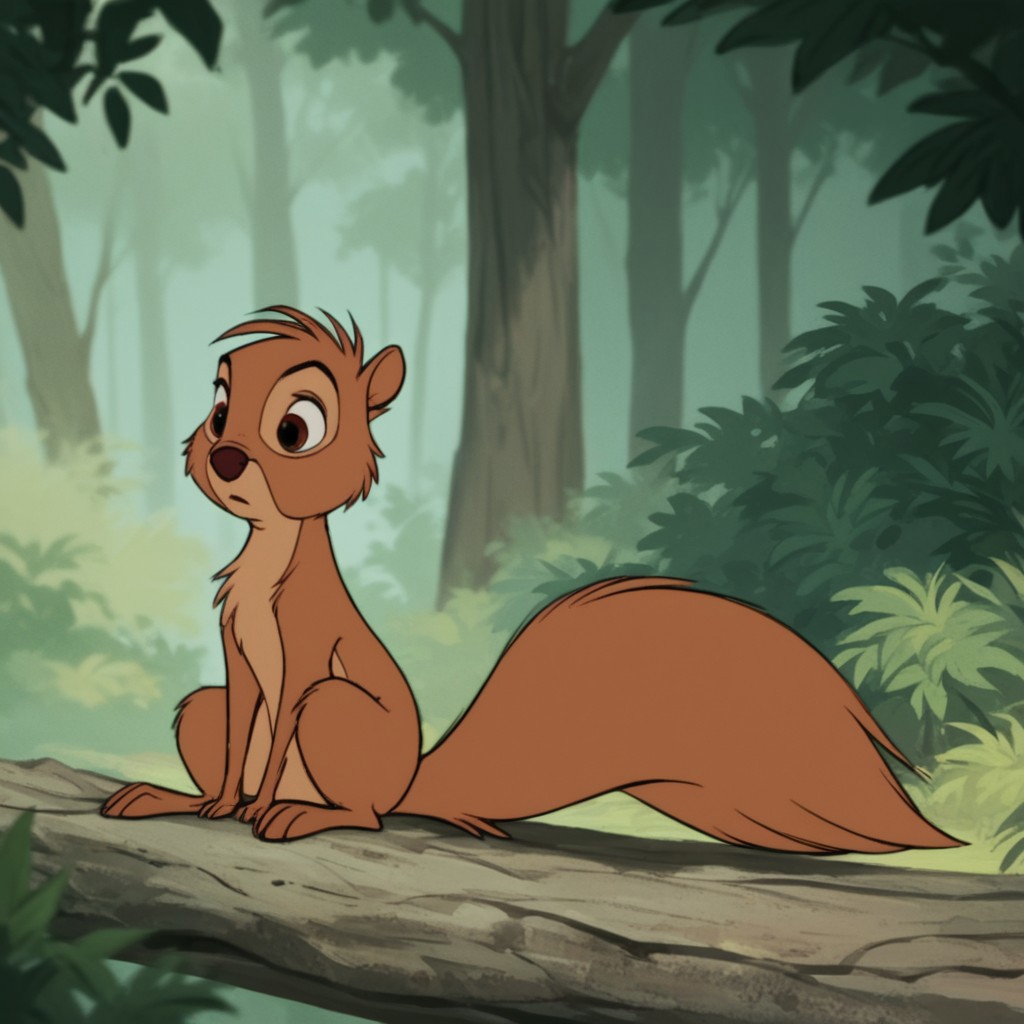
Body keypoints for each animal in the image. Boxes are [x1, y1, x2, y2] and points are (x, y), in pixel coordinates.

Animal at [102, 306, 963, 854]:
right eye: (219, 409)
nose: (224, 457)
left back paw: (301, 813)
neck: (271, 553)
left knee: (364, 811)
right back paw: (188, 798)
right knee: (214, 713)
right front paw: (220, 804)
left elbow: (281, 718)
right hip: (204, 709)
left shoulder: (307, 643)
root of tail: (407, 782)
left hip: (336, 717)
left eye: (297, 427)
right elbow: (241, 718)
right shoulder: (237, 644)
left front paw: (254, 805)